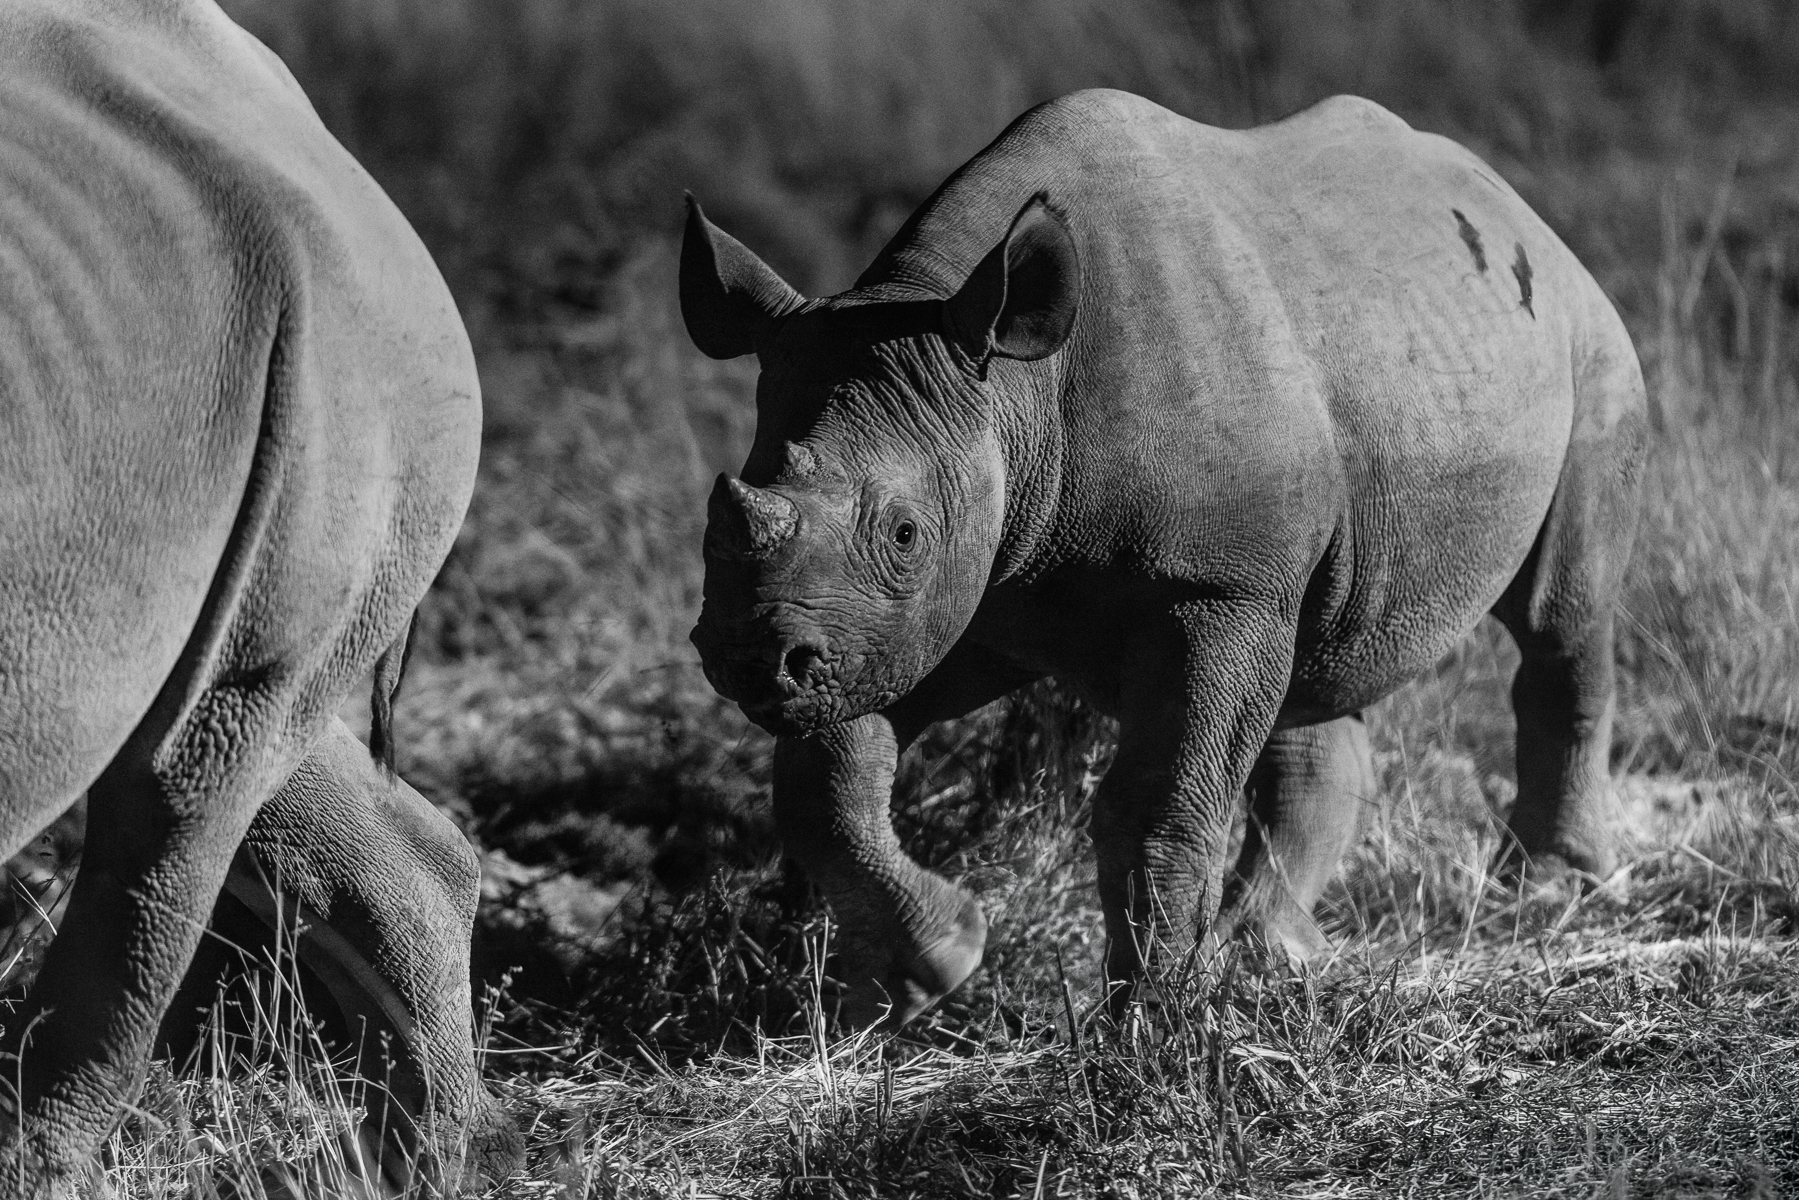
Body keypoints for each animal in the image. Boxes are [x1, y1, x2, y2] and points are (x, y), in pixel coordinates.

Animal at [681, 90, 1647, 1027]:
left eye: (903, 533)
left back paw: (1552, 885)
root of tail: (1523, 211)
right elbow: (826, 777)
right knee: (1315, 673)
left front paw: (1151, 1026)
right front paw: (922, 976)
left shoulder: (1216, 584)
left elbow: (1156, 802)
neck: (1014, 390)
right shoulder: (946, 601)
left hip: (1586, 340)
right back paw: (1266, 952)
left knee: (1558, 613)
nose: (752, 660)